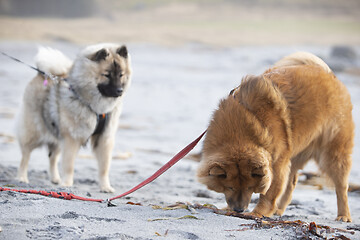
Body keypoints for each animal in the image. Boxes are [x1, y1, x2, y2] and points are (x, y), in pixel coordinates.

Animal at [198, 51, 352, 222]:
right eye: (230, 187)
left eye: (250, 187)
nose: (239, 210)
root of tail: (330, 75)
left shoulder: (277, 164)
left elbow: (269, 193)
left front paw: (258, 213)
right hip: (294, 153)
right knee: (291, 182)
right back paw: (279, 209)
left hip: (332, 155)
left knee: (341, 187)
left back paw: (344, 215)